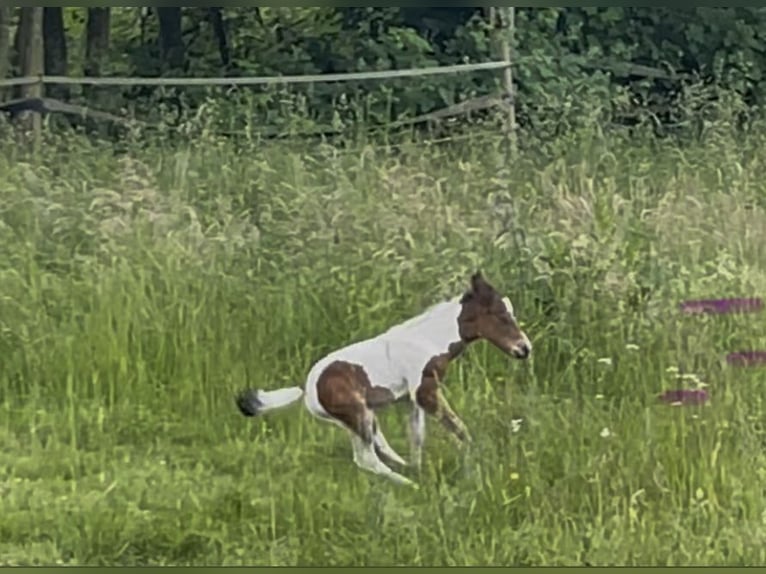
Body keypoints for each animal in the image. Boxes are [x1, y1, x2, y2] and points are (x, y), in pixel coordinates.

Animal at [235, 271, 532, 487]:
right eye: (502, 316)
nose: (524, 349)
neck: (428, 340)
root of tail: (307, 391)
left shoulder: (410, 400)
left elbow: (417, 437)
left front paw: (422, 469)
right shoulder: (425, 392)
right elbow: (461, 430)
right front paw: (473, 470)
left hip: (356, 418)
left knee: (378, 447)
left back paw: (407, 472)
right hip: (358, 414)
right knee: (366, 458)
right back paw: (409, 485)